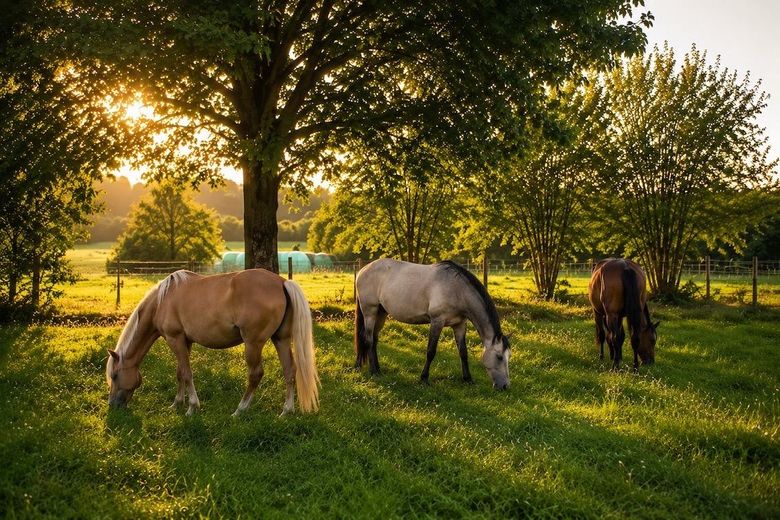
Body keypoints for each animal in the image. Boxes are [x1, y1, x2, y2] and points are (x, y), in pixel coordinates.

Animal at [106, 269, 320, 416]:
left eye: (115, 376)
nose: (113, 405)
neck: (161, 301)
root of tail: (282, 282)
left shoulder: (175, 339)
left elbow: (187, 373)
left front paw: (192, 407)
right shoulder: (185, 342)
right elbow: (180, 373)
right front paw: (177, 403)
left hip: (253, 343)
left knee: (255, 374)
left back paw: (240, 410)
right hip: (280, 339)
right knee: (289, 371)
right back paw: (286, 411)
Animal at [354, 259, 510, 389]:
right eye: (499, 357)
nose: (505, 386)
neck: (456, 289)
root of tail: (363, 270)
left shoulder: (460, 325)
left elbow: (463, 352)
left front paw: (467, 379)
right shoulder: (437, 321)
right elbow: (431, 351)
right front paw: (424, 378)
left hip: (381, 313)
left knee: (373, 339)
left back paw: (370, 368)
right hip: (370, 311)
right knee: (368, 339)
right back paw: (373, 371)